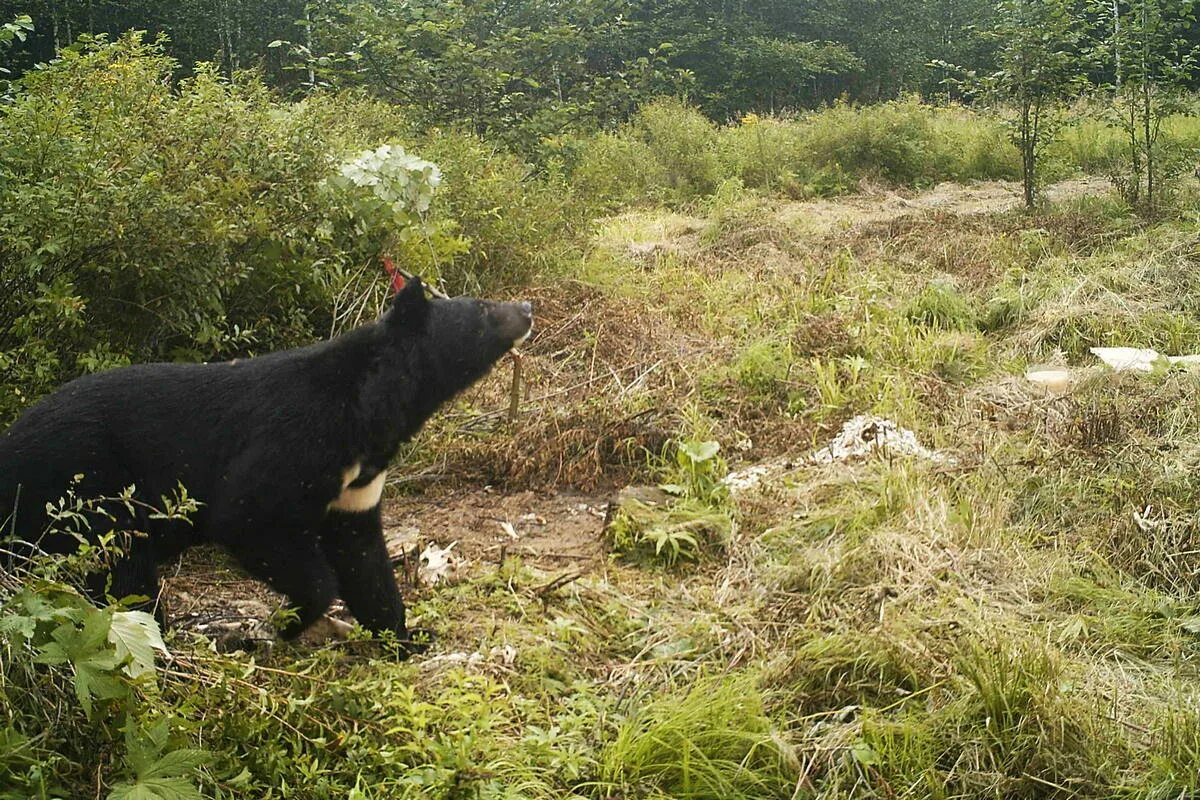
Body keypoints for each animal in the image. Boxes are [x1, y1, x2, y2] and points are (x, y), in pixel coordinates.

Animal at [0, 278, 535, 652]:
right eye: (482, 308)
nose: (527, 308)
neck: (373, 410)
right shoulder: (297, 436)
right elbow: (248, 514)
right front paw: (288, 623)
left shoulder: (357, 485)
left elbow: (363, 556)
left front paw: (406, 638)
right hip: (86, 485)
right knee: (121, 574)